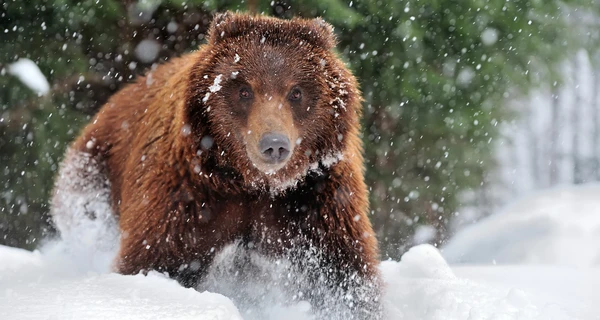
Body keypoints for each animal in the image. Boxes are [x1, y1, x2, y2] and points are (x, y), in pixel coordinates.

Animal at [50, 11, 380, 318]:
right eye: (245, 90)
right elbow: (153, 258)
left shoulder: (316, 200)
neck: (252, 184)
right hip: (93, 173)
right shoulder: (187, 195)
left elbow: (341, 278)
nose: (274, 144)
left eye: (295, 91)